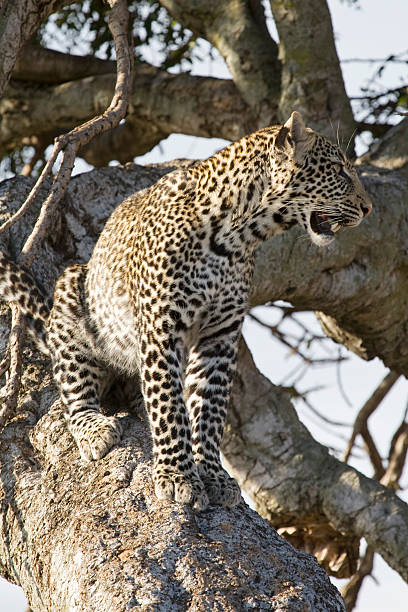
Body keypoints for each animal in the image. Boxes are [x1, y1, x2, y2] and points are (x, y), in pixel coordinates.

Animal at [0, 111, 372, 512]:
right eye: (339, 170)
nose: (368, 209)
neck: (238, 236)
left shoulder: (219, 337)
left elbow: (210, 410)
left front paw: (211, 473)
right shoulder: (162, 328)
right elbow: (169, 405)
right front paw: (178, 476)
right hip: (73, 291)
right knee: (75, 394)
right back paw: (96, 429)